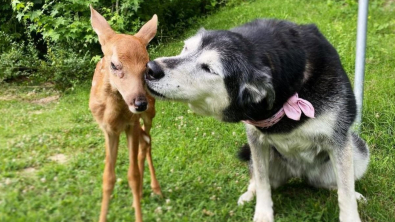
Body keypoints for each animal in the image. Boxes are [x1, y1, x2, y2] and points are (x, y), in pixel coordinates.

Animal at [89, 6, 162, 221]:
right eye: (114, 65)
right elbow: (108, 177)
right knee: (145, 141)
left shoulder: (132, 124)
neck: (115, 116)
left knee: (147, 142)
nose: (139, 103)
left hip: (150, 113)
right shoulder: (108, 130)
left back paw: (154, 189)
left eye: (146, 65)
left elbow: (133, 176)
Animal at [145, 19, 372, 222]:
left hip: (358, 150)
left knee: (334, 183)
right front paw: (263, 214)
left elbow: (345, 192)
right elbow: (263, 183)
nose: (150, 68)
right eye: (185, 48)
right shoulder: (256, 140)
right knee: (258, 178)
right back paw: (248, 194)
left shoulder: (338, 141)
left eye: (209, 68)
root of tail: (300, 173)